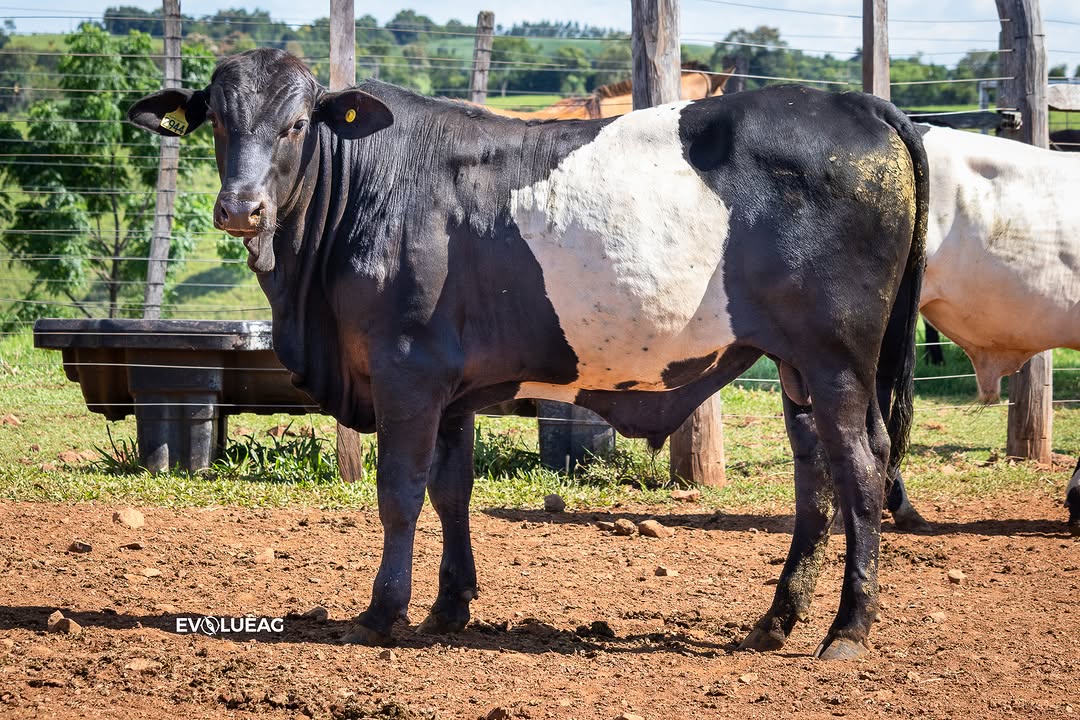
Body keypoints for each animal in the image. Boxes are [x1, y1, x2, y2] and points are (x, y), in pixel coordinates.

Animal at [128, 49, 928, 660]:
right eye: (218, 121)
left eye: (296, 124)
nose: (241, 209)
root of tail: (860, 105)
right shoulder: (450, 387)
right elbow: (450, 491)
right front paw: (450, 606)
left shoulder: (405, 370)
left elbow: (399, 493)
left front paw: (384, 611)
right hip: (797, 368)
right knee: (814, 480)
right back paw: (777, 620)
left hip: (837, 360)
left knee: (861, 471)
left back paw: (847, 630)